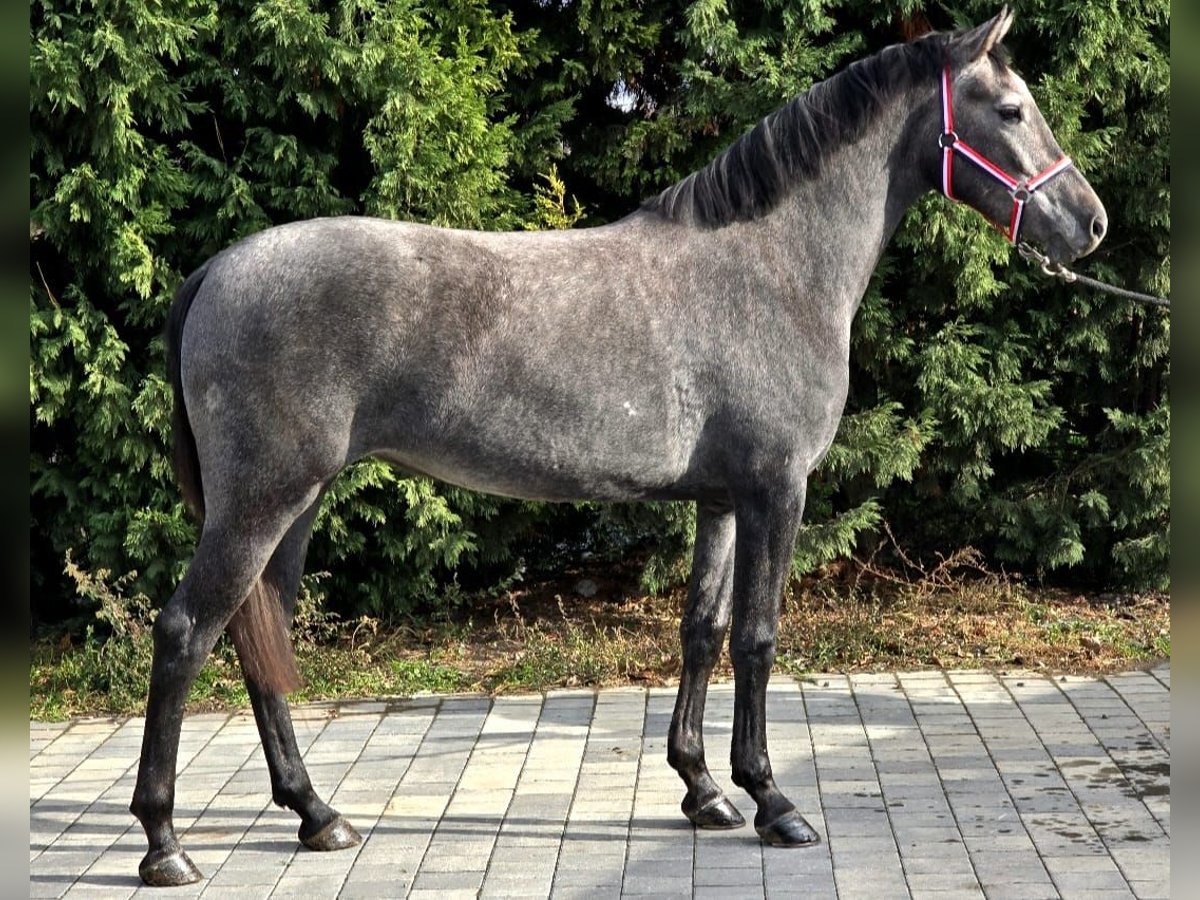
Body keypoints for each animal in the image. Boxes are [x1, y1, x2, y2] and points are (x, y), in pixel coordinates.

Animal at [131, 8, 1104, 888]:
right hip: (261, 502)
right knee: (186, 632)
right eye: (1010, 108)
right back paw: (166, 845)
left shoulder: (721, 502)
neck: (773, 266)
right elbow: (758, 638)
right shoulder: (776, 491)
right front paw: (773, 802)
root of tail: (215, 270)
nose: (1088, 225)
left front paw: (704, 791)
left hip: (293, 506)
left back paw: (317, 815)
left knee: (259, 637)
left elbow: (702, 633)